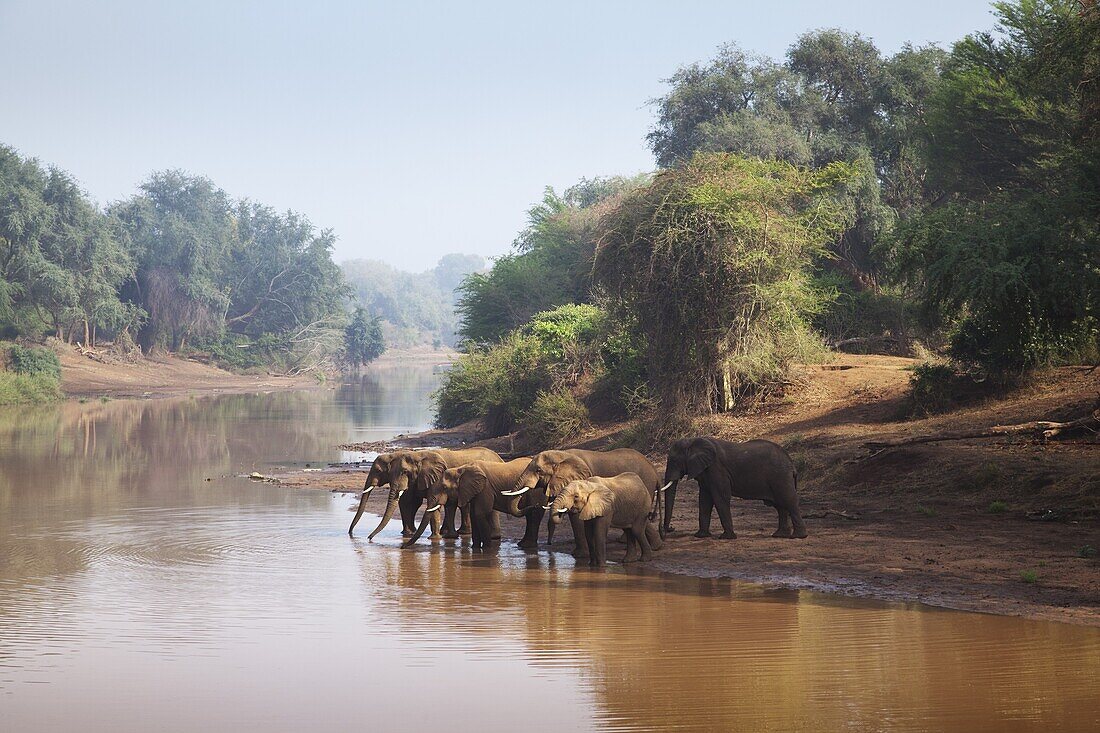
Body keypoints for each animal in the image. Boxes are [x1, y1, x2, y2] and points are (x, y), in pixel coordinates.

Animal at [347, 442, 503, 539]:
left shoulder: (436, 477)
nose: (368, 537)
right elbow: (410, 502)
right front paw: (409, 534)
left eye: (379, 471)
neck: (417, 456)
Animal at [402, 457, 530, 548]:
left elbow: (480, 513)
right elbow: (474, 514)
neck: (460, 469)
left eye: (444, 487)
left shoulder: (485, 488)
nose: (402, 547)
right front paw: (475, 549)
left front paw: (487, 550)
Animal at [503, 442, 655, 556]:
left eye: (538, 470)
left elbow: (576, 517)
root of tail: (651, 465)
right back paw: (654, 546)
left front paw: (580, 555)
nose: (534, 506)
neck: (561, 455)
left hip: (646, 485)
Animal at [660, 435, 809, 539]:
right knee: (780, 505)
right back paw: (779, 535)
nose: (670, 529)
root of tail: (792, 463)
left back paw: (798, 536)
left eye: (674, 461)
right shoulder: (705, 471)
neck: (693, 440)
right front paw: (701, 536)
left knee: (789, 501)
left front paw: (726, 538)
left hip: (780, 477)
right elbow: (704, 499)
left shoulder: (717, 469)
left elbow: (720, 498)